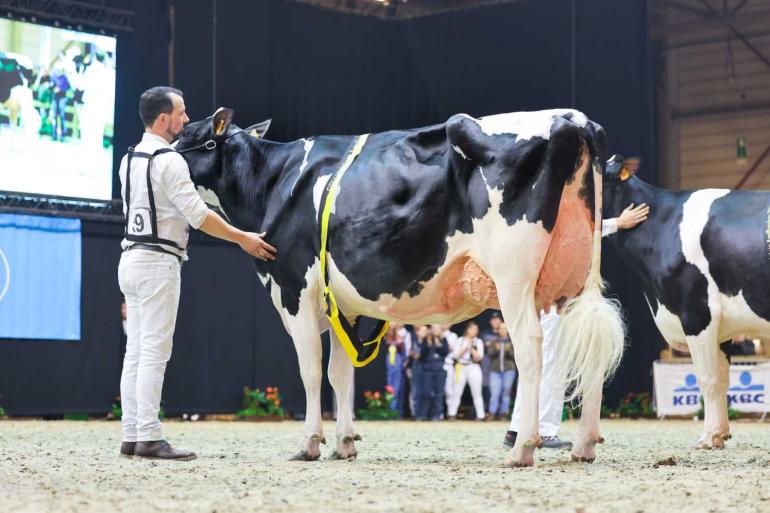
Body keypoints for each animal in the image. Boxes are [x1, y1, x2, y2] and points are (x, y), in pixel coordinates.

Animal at [176, 109, 624, 468]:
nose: (161, 152)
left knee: (530, 348)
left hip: (514, 276)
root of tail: (572, 119)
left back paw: (523, 449)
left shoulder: (296, 291)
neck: (274, 181)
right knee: (590, 349)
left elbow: (311, 371)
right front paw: (345, 443)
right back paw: (584, 445)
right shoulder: (344, 306)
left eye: (186, 136)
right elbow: (340, 373)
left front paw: (309, 443)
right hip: (576, 277)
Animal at [604, 156, 768, 448]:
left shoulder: (696, 312)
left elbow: (708, 378)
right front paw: (721, 433)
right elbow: (723, 378)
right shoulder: (722, 326)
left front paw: (709, 437)